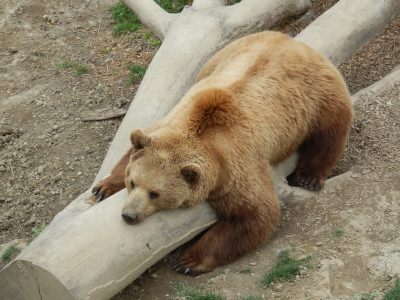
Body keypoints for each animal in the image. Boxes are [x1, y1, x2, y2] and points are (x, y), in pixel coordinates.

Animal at [92, 31, 352, 276]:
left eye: (155, 193)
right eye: (133, 182)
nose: (129, 215)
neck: (198, 131)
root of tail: (293, 42)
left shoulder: (234, 164)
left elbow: (255, 214)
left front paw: (188, 261)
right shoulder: (168, 123)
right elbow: (133, 147)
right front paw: (102, 188)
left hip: (317, 94)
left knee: (330, 130)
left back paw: (309, 177)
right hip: (220, 57)